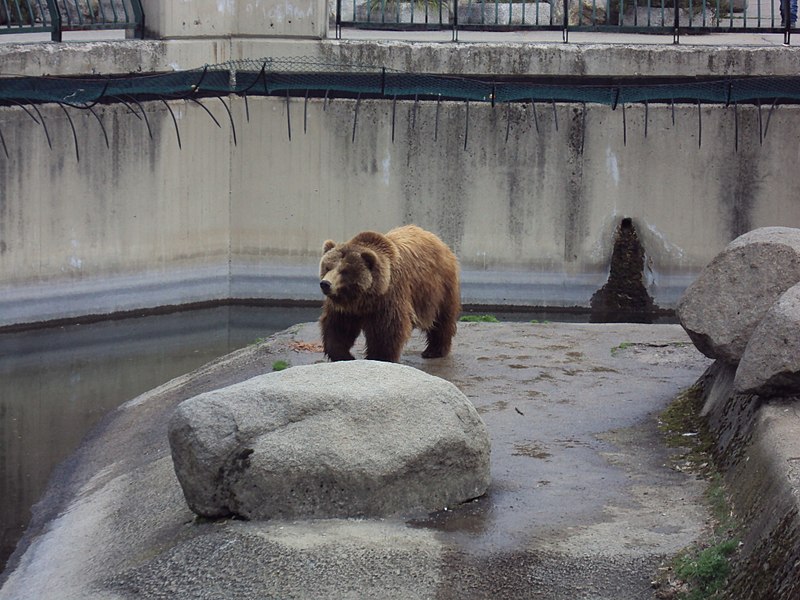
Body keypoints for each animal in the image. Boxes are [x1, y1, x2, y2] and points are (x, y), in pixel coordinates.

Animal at [318, 225, 460, 364]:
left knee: (442, 318)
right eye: (327, 267)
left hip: (438, 287)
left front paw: (379, 357)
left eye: (344, 271)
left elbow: (387, 329)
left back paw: (434, 351)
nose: (325, 283)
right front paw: (344, 355)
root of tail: (436, 239)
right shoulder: (345, 307)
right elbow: (337, 327)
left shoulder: (390, 296)